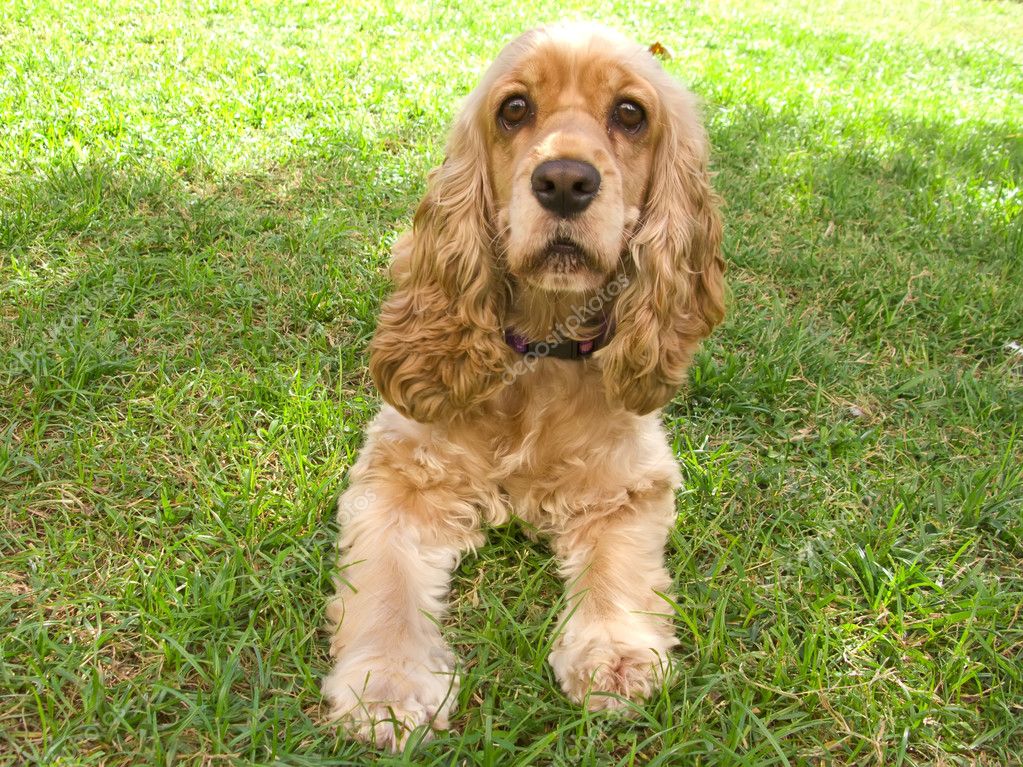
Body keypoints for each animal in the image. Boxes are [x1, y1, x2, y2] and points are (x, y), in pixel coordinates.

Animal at [323, 22, 724, 752]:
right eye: (514, 109)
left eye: (631, 114)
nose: (564, 181)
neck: (539, 349)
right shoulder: (398, 473)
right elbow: (386, 580)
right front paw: (388, 684)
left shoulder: (630, 482)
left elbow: (619, 568)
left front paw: (614, 654)